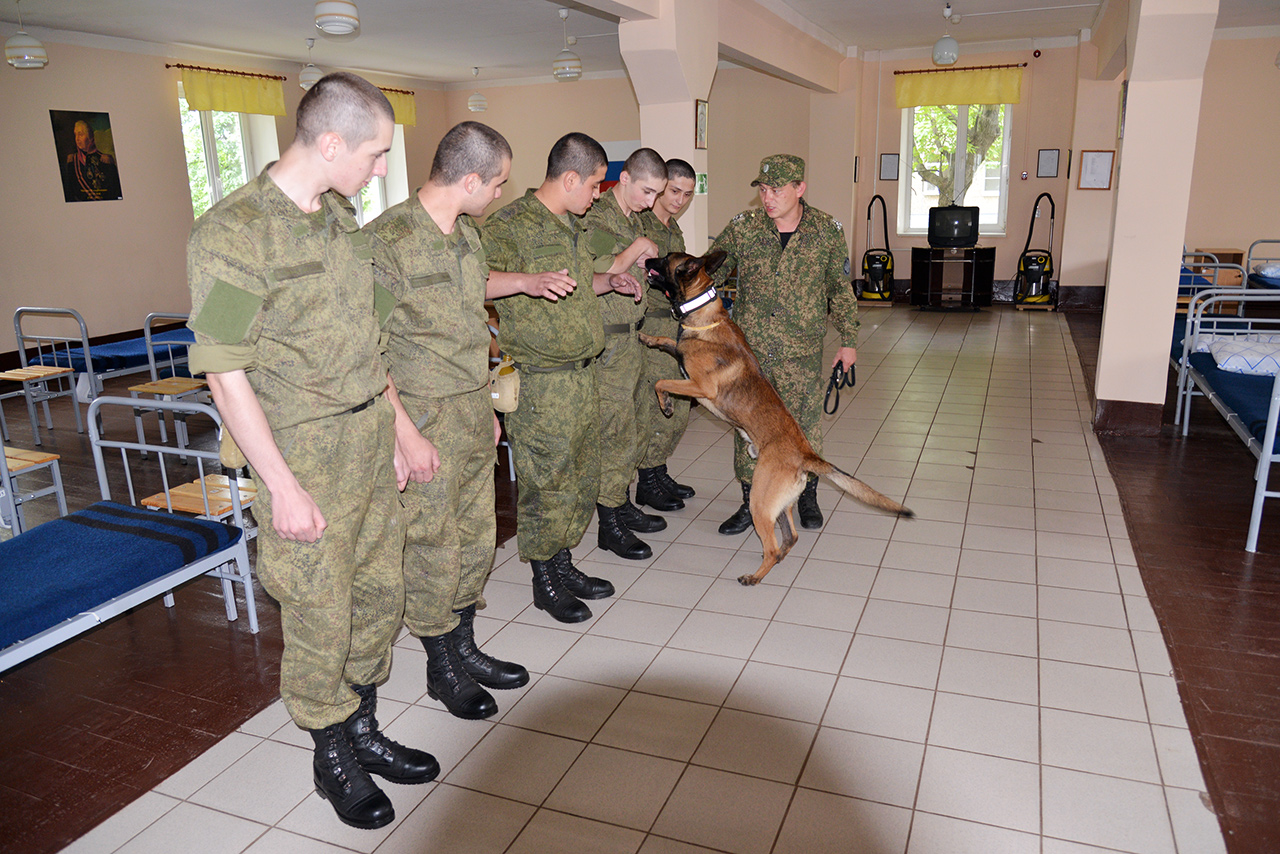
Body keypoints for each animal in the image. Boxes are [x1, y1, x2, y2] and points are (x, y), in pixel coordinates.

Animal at [640, 250, 911, 583]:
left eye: (665, 258)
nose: (647, 258)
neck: (703, 314)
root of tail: (807, 454)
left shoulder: (699, 387)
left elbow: (660, 382)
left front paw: (666, 405)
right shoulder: (683, 360)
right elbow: (668, 342)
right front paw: (647, 337)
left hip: (761, 500)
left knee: (772, 544)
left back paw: (754, 576)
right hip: (779, 504)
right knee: (790, 536)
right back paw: (778, 558)